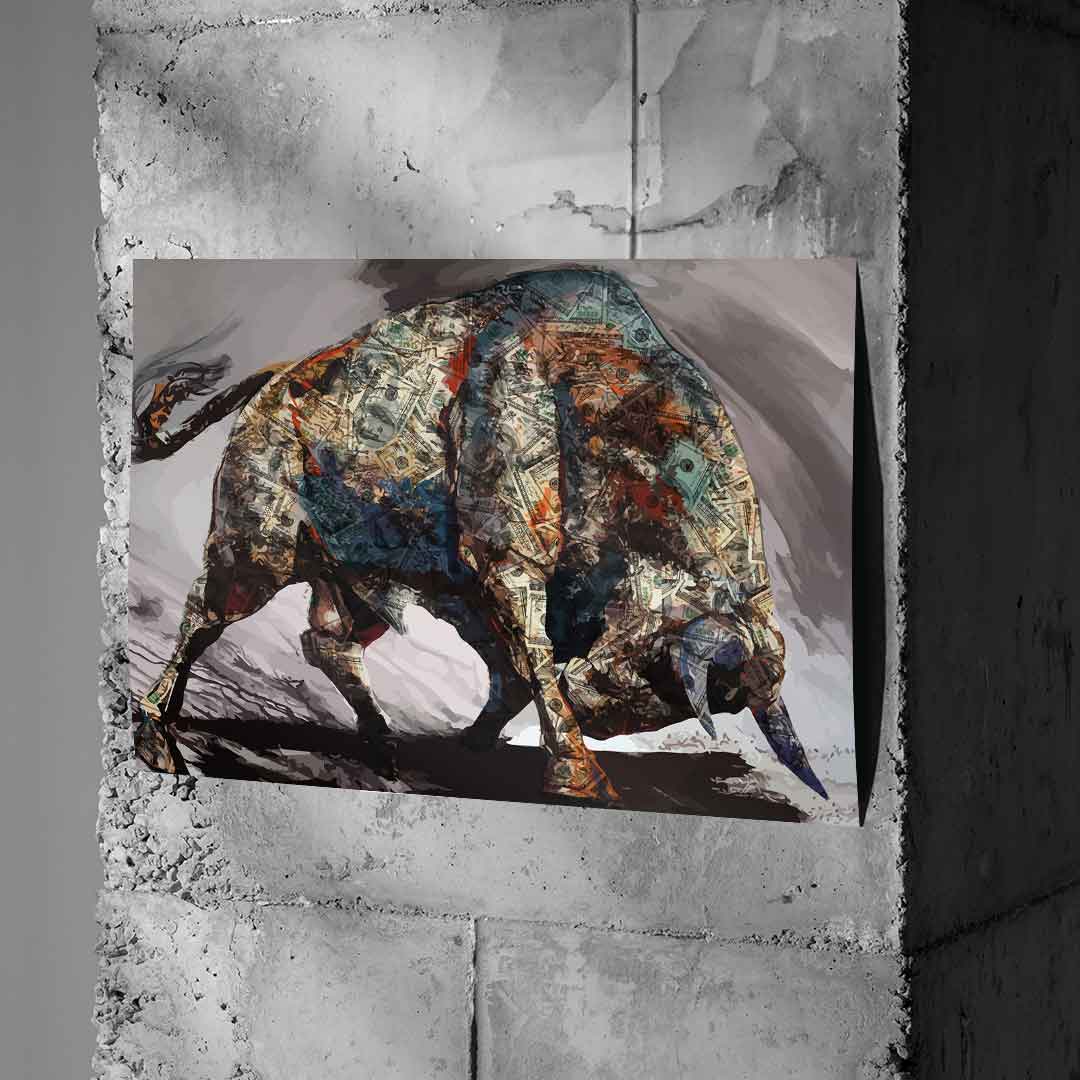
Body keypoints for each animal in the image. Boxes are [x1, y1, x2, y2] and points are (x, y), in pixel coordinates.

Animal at [131, 266, 827, 805]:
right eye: (664, 668)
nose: (597, 711)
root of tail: (276, 378)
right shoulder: (508, 566)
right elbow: (532, 663)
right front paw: (579, 775)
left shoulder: (475, 592)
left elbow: (513, 673)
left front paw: (480, 745)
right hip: (256, 545)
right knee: (206, 618)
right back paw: (155, 737)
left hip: (358, 573)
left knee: (327, 640)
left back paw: (383, 743)